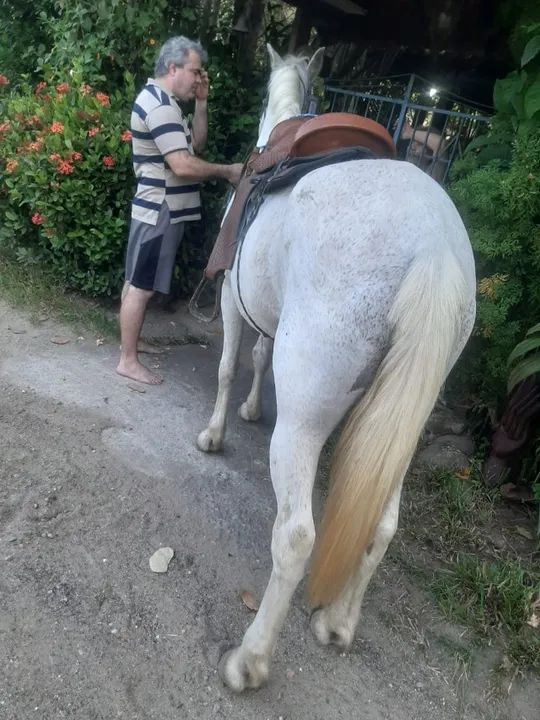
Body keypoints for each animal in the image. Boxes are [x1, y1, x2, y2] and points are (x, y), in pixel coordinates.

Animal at [197, 44, 476, 692]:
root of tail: (433, 247)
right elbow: (258, 357)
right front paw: (251, 407)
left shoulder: (231, 300)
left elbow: (227, 365)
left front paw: (216, 433)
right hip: (400, 430)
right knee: (383, 526)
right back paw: (339, 624)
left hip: (304, 424)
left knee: (297, 536)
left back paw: (251, 659)